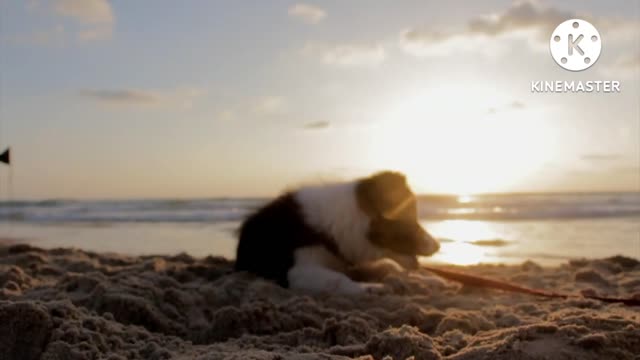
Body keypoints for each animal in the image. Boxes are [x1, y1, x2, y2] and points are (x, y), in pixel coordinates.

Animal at [235, 171, 440, 292]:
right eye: (410, 220)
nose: (438, 246)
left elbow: (392, 268)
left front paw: (426, 280)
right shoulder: (297, 270)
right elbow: (338, 280)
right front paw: (370, 288)